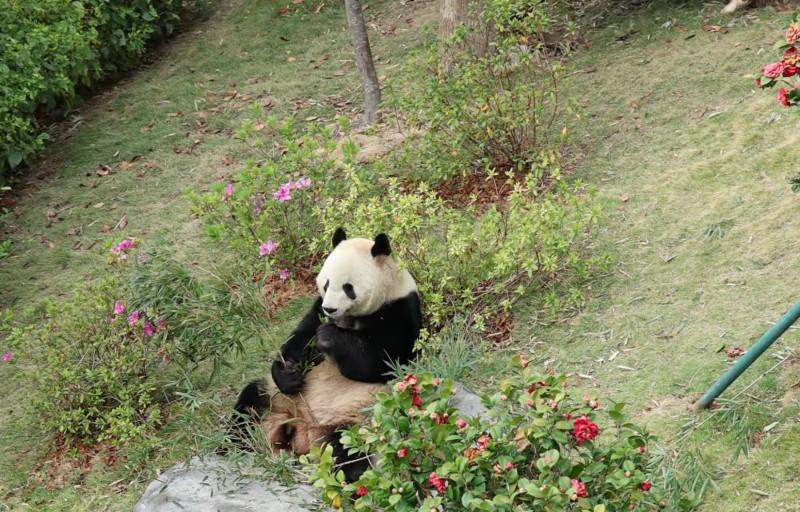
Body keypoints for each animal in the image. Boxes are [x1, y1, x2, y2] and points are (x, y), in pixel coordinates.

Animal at [228, 228, 422, 481]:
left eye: (348, 287)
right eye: (327, 284)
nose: (330, 309)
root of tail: (303, 426)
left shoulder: (400, 311)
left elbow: (383, 361)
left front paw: (328, 336)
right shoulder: (317, 307)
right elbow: (300, 339)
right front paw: (288, 373)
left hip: (353, 417)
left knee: (347, 450)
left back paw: (349, 479)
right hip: (276, 398)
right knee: (249, 404)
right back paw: (230, 445)